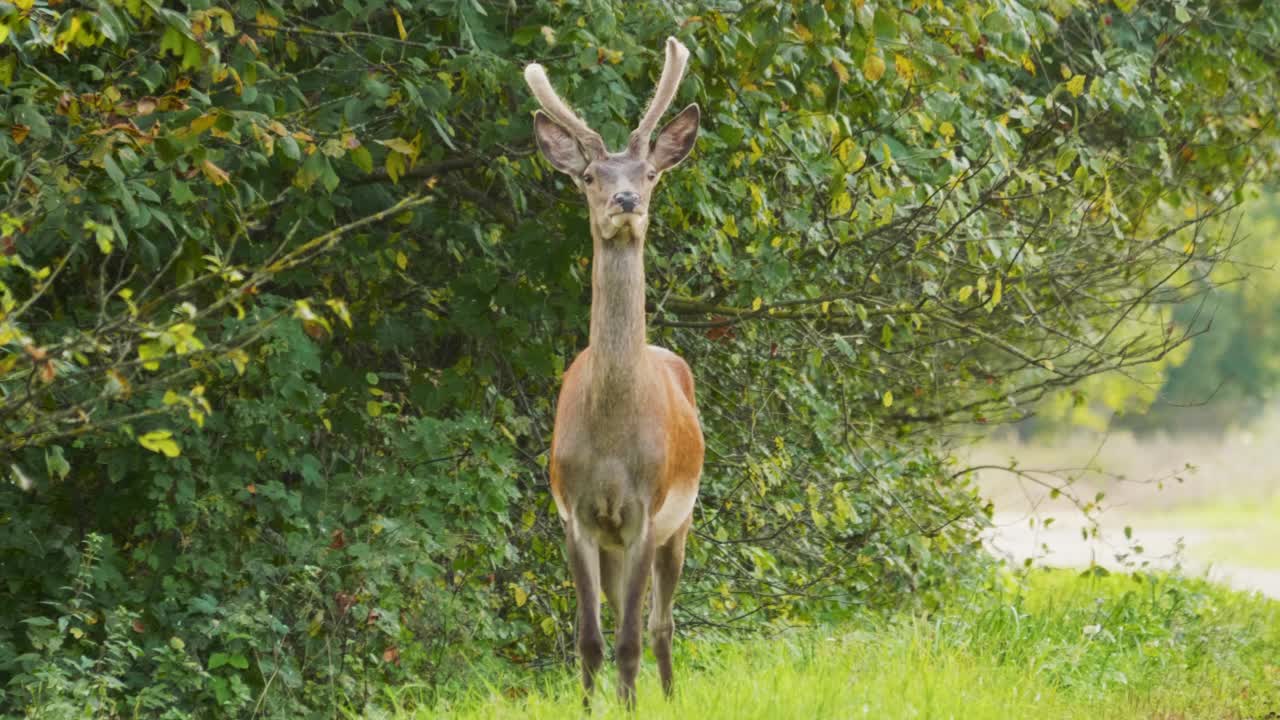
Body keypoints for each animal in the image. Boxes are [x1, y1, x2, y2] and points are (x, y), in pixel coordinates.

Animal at [519, 36, 701, 702]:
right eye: (590, 176)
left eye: (649, 174)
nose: (627, 202)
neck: (613, 441)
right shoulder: (575, 513)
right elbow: (590, 640)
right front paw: (591, 707)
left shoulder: (648, 510)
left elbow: (628, 641)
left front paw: (630, 707)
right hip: (617, 539)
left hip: (683, 519)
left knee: (662, 625)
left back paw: (670, 698)